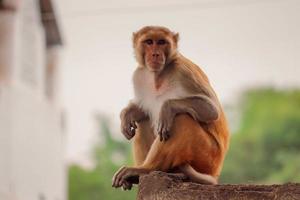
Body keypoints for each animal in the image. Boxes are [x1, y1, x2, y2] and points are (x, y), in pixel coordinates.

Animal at [111, 25, 229, 190]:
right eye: (149, 42)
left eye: (161, 42)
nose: (155, 53)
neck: (159, 74)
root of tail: (216, 172)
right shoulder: (139, 75)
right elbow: (142, 110)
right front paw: (127, 114)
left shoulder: (183, 72)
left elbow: (211, 110)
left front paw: (167, 108)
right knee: (144, 120)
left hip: (208, 157)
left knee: (181, 118)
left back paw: (146, 169)